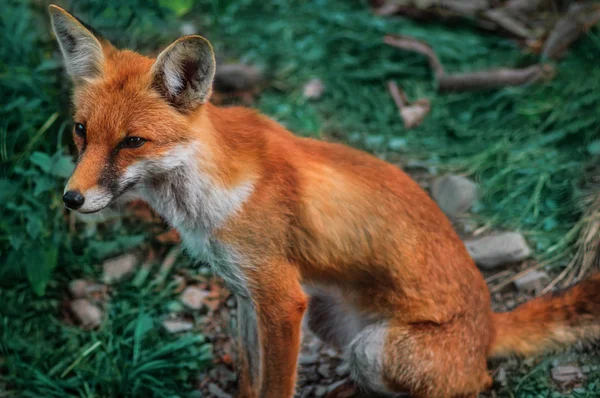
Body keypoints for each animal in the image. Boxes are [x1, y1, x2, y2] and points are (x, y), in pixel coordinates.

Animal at [49, 6, 596, 398]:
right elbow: (248, 379)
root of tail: (489, 329)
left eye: (132, 142)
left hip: (373, 349)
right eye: (80, 131)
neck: (211, 198)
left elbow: (274, 388)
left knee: (472, 384)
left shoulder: (282, 300)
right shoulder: (247, 294)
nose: (72, 198)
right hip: (331, 320)